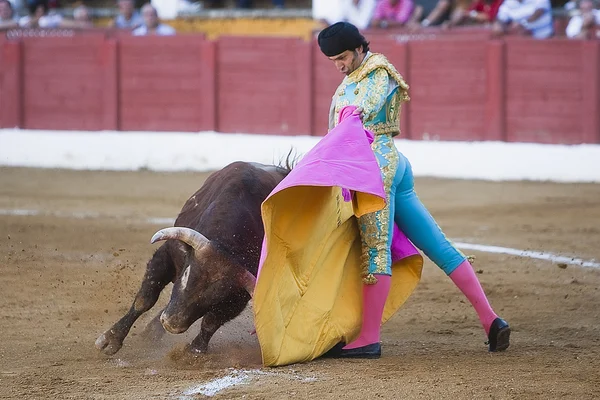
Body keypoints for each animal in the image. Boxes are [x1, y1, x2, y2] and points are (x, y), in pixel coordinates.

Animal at [94, 161, 290, 354]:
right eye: (187, 274)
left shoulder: (239, 295)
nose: (172, 324)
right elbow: (145, 299)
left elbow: (211, 322)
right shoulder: (165, 255)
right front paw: (111, 339)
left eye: (219, 295)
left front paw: (193, 352)